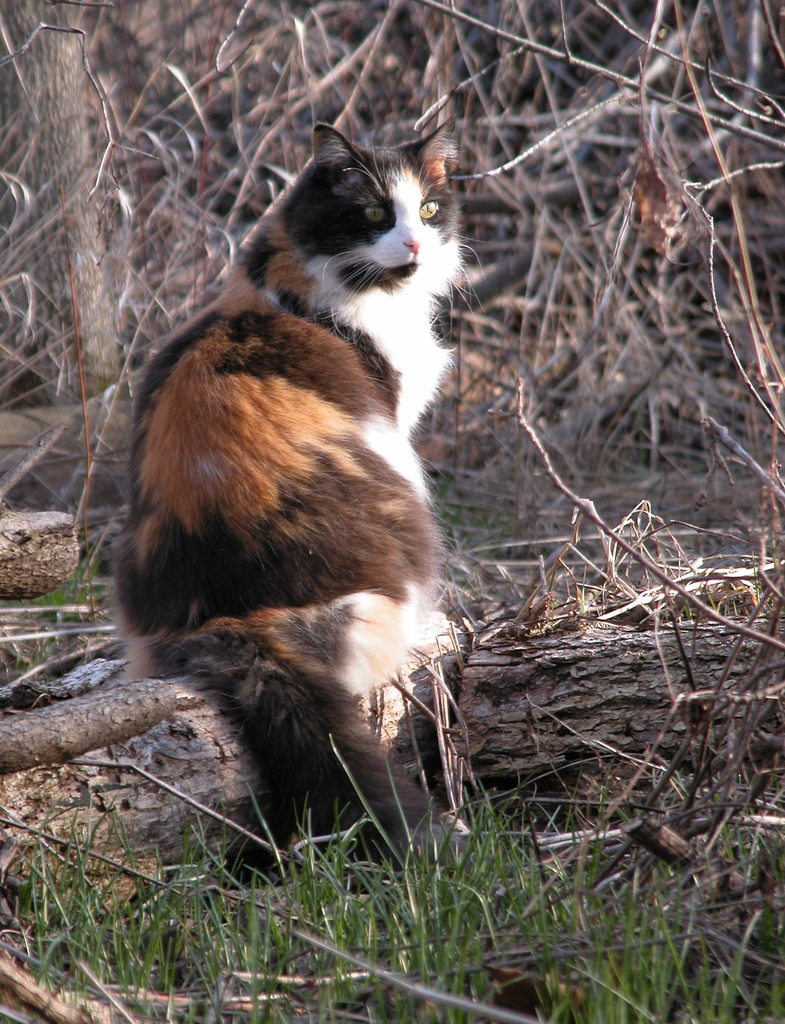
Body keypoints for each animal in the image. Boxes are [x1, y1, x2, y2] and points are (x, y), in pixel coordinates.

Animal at [113, 119, 461, 854]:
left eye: (429, 210)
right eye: (374, 214)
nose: (416, 243)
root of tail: (231, 611)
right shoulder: (397, 424)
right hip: (402, 524)